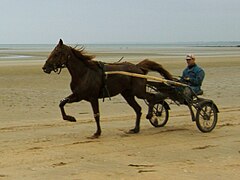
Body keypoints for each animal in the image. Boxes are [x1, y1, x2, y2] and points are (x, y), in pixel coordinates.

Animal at [41, 39, 172, 138]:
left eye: (56, 53)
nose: (44, 67)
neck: (84, 73)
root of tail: (138, 67)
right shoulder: (78, 96)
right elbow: (62, 103)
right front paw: (70, 118)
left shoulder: (93, 98)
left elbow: (96, 115)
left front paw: (97, 133)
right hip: (127, 94)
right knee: (138, 109)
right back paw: (135, 129)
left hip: (138, 91)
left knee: (152, 98)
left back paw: (153, 115)